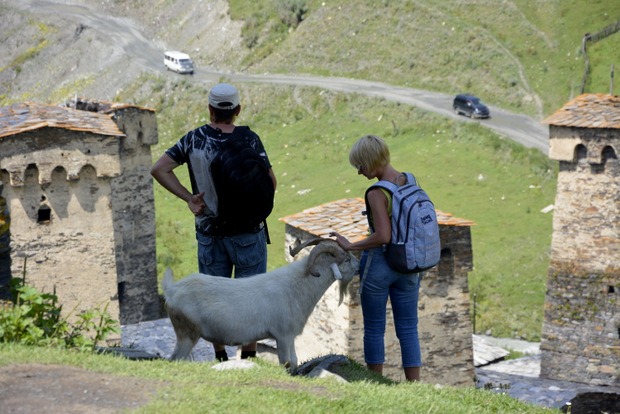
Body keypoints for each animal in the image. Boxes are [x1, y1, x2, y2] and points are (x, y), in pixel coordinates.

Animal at [161, 239, 358, 368]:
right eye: (347, 259)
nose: (359, 266)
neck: (296, 286)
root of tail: (171, 289)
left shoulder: (290, 337)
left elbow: (294, 362)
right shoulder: (283, 336)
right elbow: (286, 363)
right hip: (187, 334)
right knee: (174, 359)